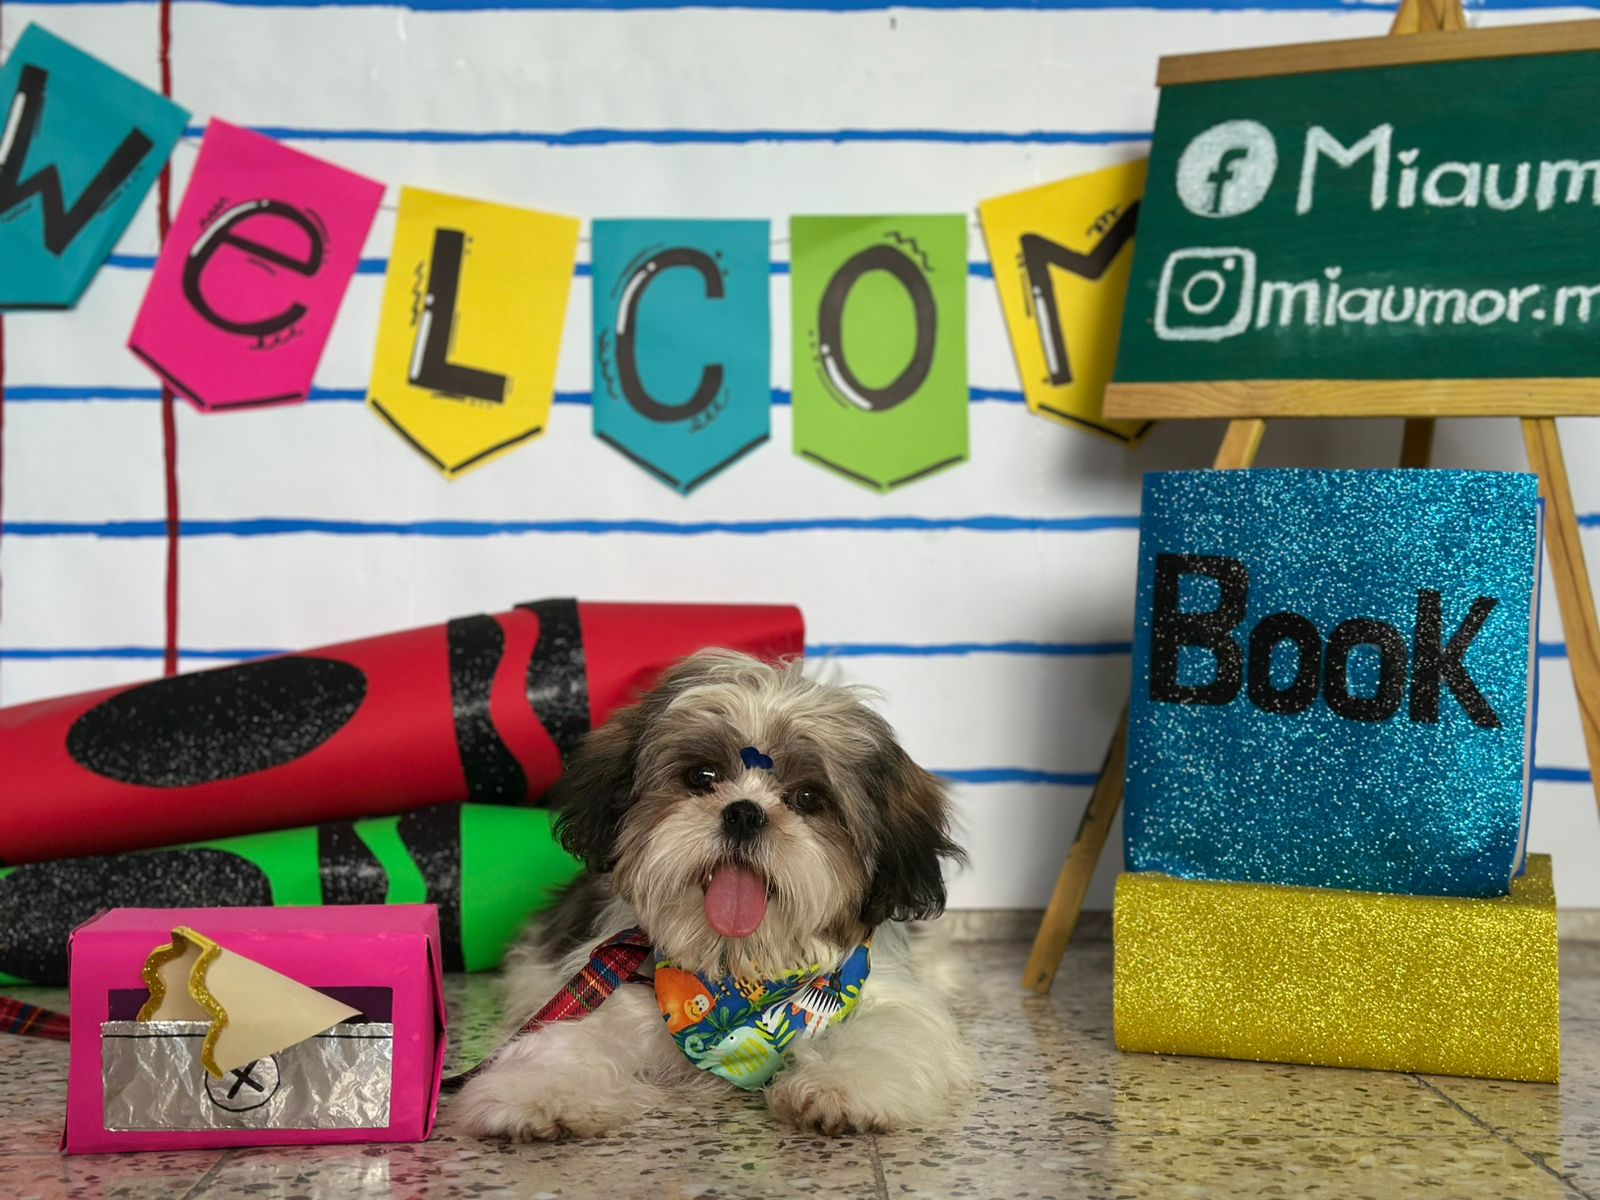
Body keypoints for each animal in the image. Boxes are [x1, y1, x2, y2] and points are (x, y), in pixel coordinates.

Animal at [455, 648, 973, 1139]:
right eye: (701, 776)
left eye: (808, 798)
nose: (744, 813)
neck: (740, 971)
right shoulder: (617, 995)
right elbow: (572, 1036)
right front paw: (539, 1091)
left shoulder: (871, 989)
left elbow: (887, 1030)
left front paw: (839, 1085)